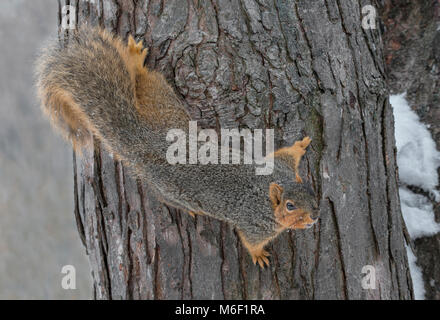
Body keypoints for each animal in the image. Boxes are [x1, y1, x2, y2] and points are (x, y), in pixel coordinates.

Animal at [36, 26, 318, 268]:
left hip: (163, 103)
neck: (266, 195)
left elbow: (285, 154)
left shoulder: (279, 166)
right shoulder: (254, 224)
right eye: (290, 206)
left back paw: (135, 58)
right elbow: (250, 241)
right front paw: (259, 256)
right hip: (168, 185)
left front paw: (301, 145)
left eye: (310, 190)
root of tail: (143, 140)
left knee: (142, 79)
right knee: (167, 198)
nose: (315, 216)